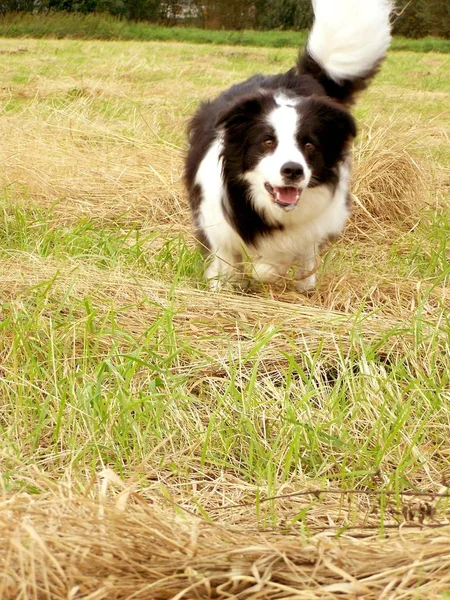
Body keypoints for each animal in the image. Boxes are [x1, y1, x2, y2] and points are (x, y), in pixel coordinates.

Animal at [185, 0, 392, 292]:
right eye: (267, 142)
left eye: (309, 145)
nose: (293, 171)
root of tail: (296, 77)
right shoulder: (217, 226)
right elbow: (225, 266)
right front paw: (227, 287)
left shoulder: (311, 225)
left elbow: (278, 261)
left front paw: (272, 272)